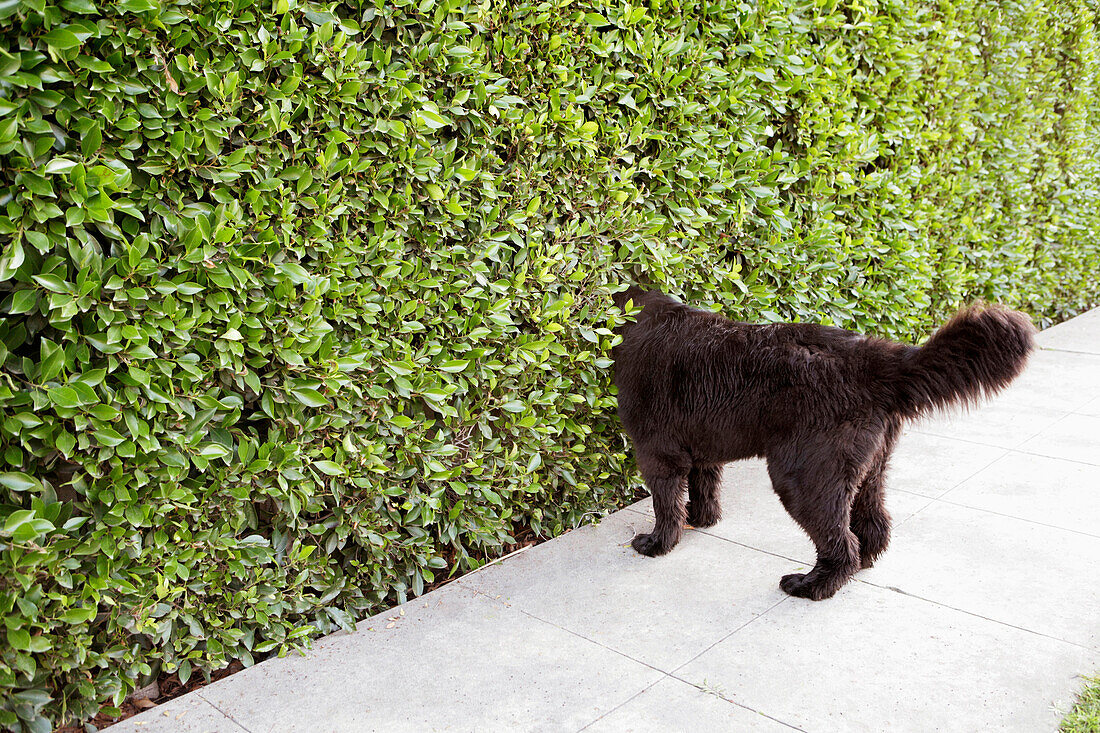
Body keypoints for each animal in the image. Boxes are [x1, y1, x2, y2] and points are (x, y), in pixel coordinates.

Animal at [616, 281, 1034, 598]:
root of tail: (874, 362)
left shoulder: (658, 454)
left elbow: (666, 505)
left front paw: (658, 544)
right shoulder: (704, 450)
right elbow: (704, 487)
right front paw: (701, 520)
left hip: (804, 478)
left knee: (840, 543)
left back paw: (811, 585)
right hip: (868, 469)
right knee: (872, 526)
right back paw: (861, 563)